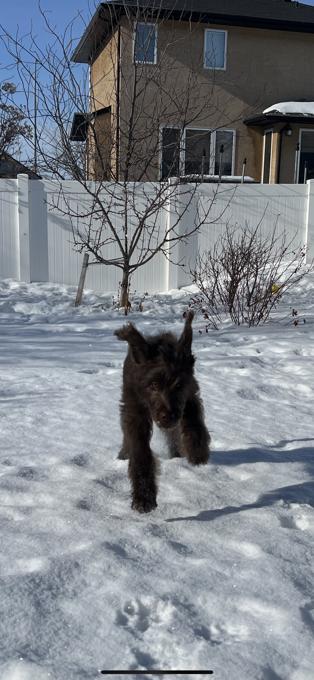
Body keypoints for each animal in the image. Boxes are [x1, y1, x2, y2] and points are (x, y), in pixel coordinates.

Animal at [114, 310, 210, 512]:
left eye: (179, 385)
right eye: (153, 385)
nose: (169, 416)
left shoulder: (190, 393)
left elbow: (193, 419)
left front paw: (197, 450)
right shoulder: (135, 411)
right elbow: (139, 450)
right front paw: (144, 497)